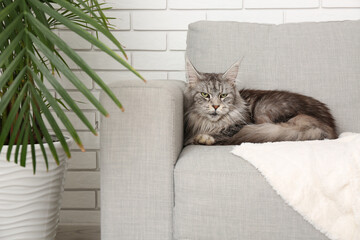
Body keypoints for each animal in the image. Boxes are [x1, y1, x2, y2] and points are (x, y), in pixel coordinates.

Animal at [184, 58, 338, 145]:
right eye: (205, 94)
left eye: (223, 95)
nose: (215, 106)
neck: (210, 124)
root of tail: (330, 127)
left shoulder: (241, 124)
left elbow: (224, 132)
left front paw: (204, 138)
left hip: (262, 110)